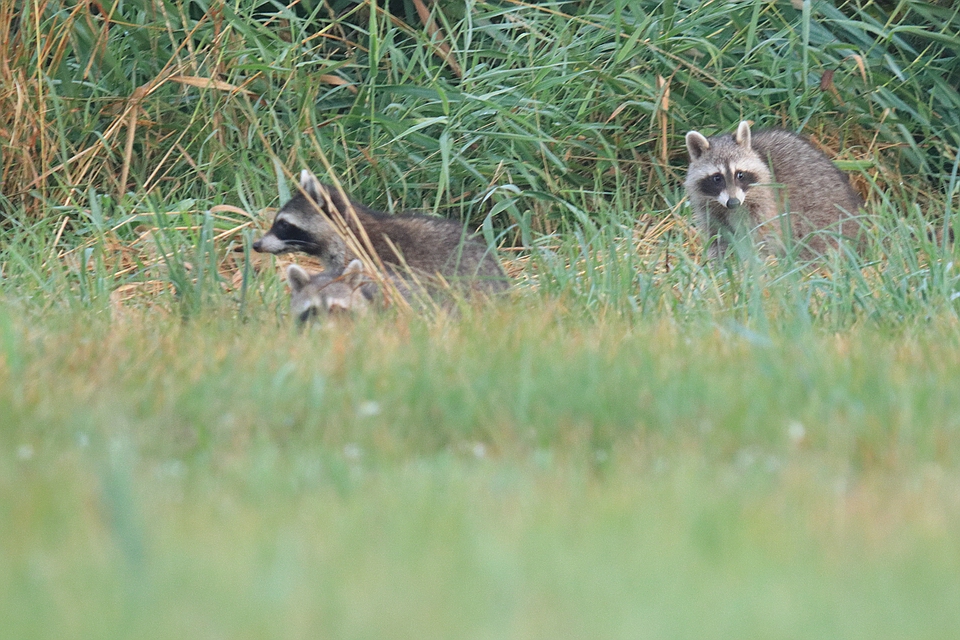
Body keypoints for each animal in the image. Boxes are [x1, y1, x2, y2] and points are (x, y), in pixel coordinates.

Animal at [684, 120, 864, 260]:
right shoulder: (709, 207)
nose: (733, 202)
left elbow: (765, 232)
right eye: (717, 178)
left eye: (740, 175)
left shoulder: (766, 199)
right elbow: (717, 236)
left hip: (822, 209)